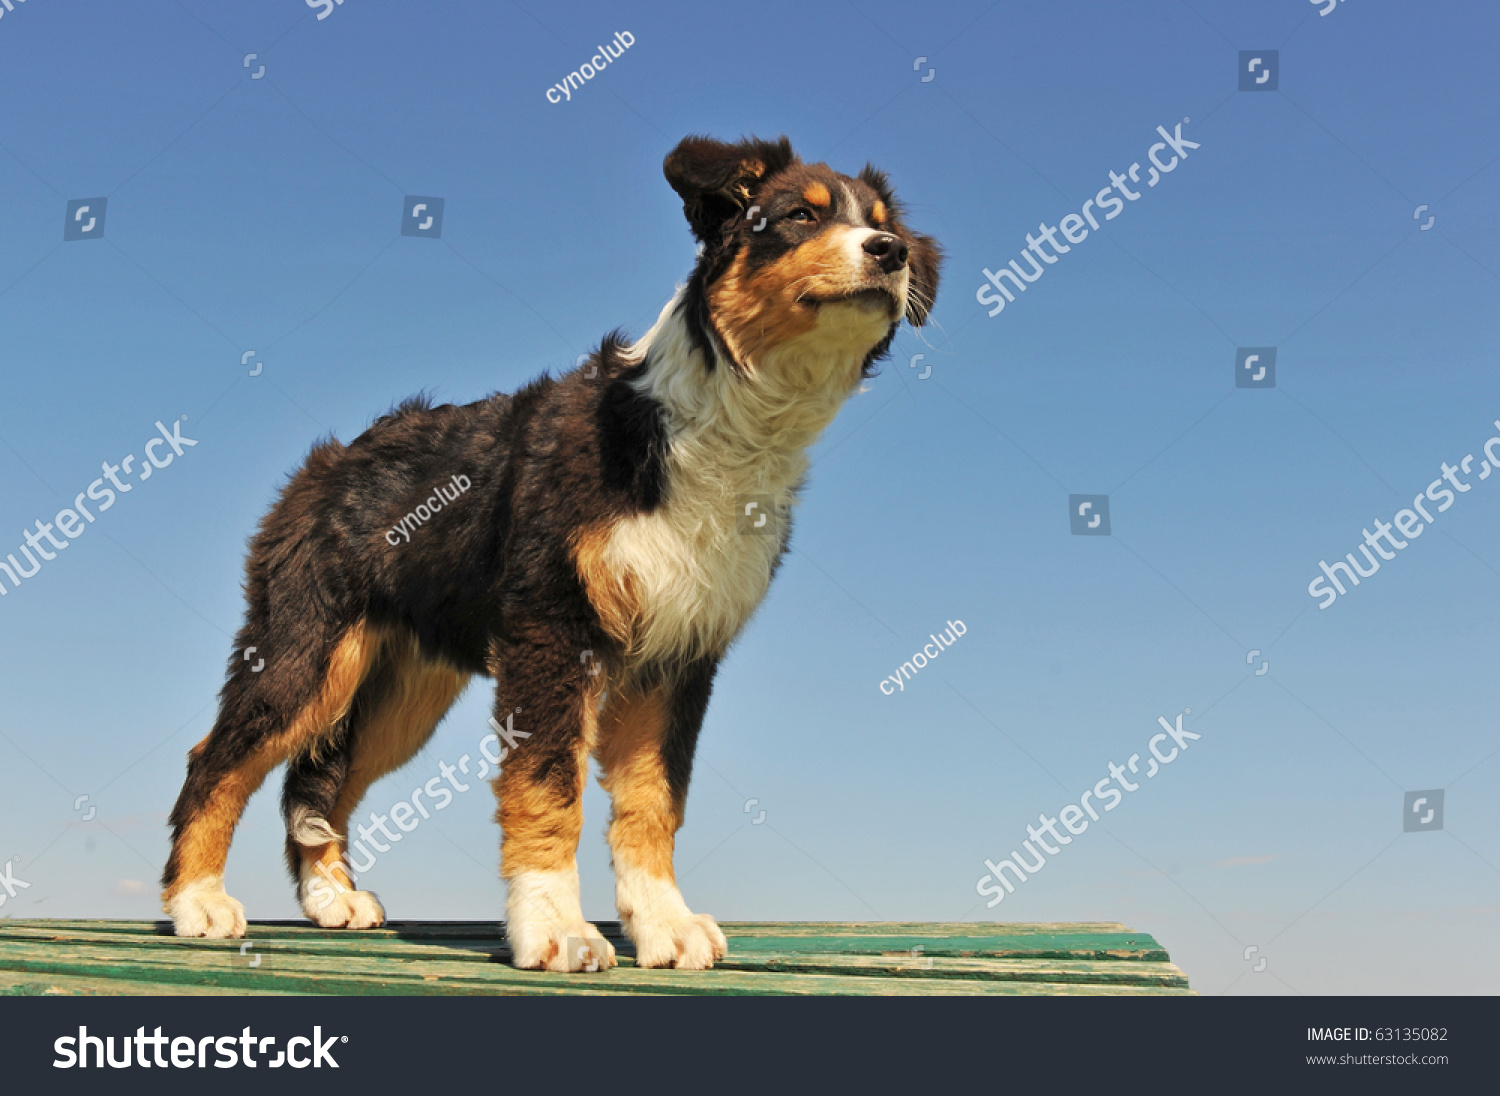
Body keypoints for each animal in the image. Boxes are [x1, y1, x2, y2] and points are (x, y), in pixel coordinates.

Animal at [161, 134, 936, 971]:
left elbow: (654, 800)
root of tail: (332, 460)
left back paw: (331, 895)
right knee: (218, 758)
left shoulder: (681, 651)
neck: (722, 427)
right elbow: (547, 790)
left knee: (320, 772)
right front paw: (556, 929)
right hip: (304, 649)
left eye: (884, 222)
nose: (890, 252)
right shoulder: (552, 631)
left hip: (402, 692)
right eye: (798, 216)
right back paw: (197, 903)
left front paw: (664, 923)